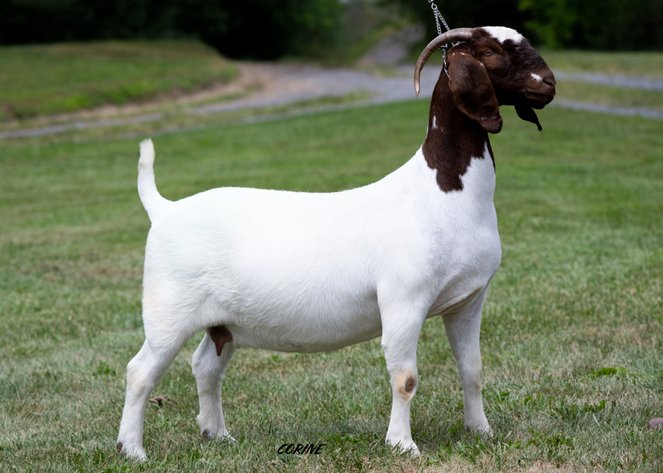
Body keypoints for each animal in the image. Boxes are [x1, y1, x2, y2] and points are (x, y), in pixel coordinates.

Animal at [116, 26, 555, 460]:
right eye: (490, 51)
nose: (549, 83)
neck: (441, 191)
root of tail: (165, 209)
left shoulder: (468, 301)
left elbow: (472, 369)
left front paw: (481, 431)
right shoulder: (404, 300)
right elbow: (405, 378)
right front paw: (403, 444)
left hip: (222, 322)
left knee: (205, 365)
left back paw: (217, 435)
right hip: (168, 311)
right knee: (140, 370)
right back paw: (132, 449)